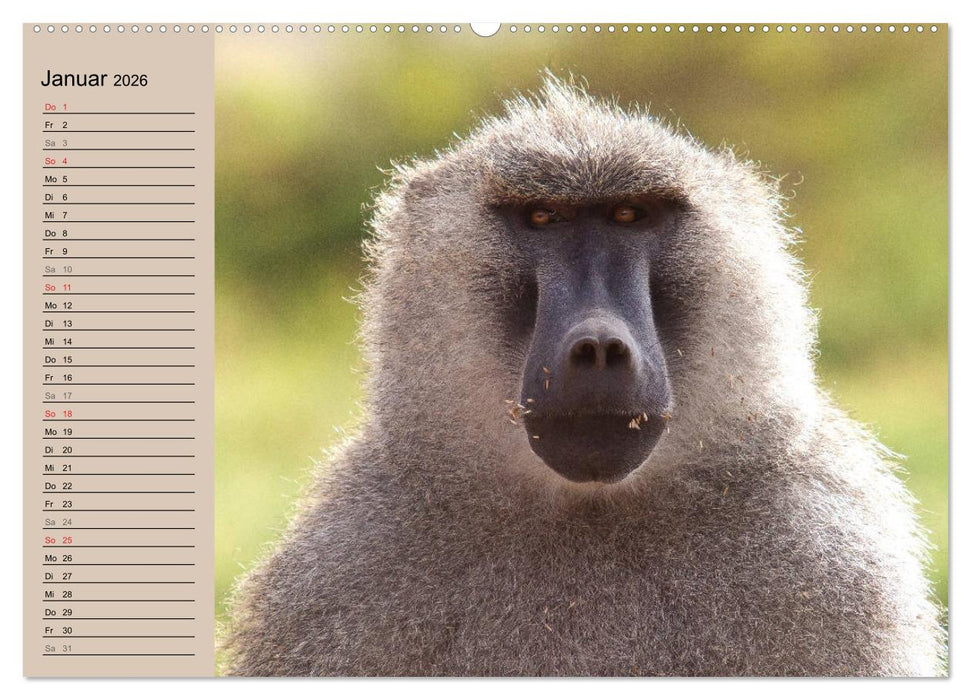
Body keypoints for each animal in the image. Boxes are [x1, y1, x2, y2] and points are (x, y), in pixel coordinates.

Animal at [222, 77, 946, 677]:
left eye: (630, 216)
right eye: (543, 219)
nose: (597, 346)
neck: (589, 511)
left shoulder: (827, 560)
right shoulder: (341, 572)